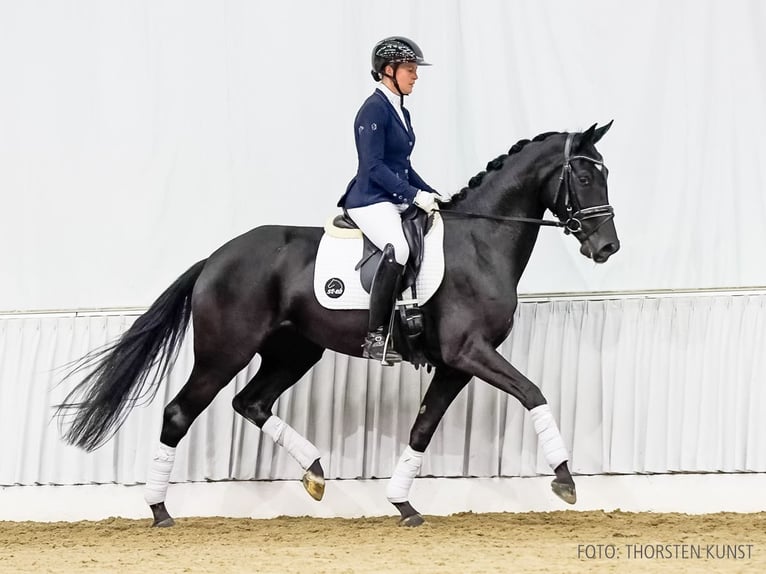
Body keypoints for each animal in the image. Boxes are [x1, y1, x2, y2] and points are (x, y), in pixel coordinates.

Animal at [55, 124, 616, 528]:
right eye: (586, 178)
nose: (607, 247)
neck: (481, 242)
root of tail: (215, 257)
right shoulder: (469, 352)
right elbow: (533, 392)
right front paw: (565, 479)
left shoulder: (455, 365)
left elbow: (422, 428)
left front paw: (402, 504)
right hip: (224, 352)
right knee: (179, 413)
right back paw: (159, 511)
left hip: (295, 351)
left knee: (251, 402)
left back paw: (316, 472)